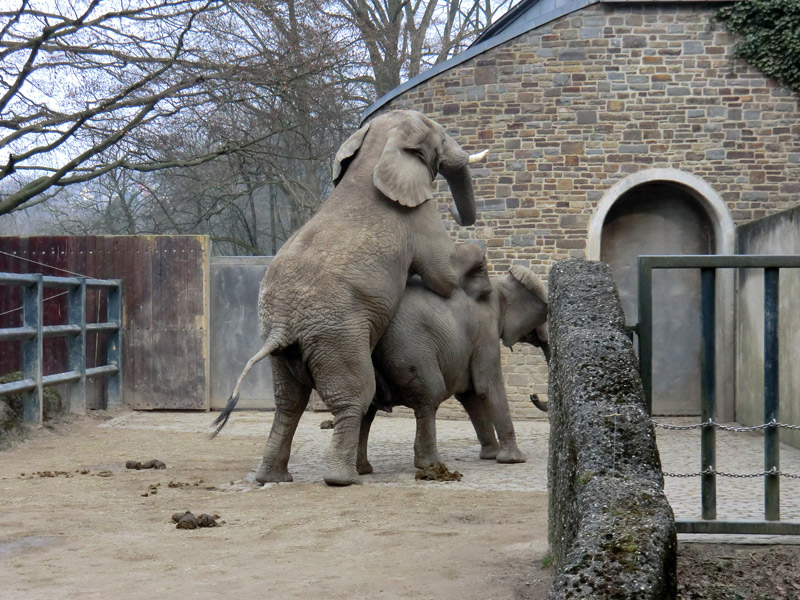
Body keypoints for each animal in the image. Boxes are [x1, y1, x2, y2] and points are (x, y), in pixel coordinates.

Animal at [212, 110, 488, 488]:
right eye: (440, 136)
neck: (374, 150)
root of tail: (281, 327)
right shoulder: (417, 217)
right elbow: (442, 275)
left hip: (285, 349)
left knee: (288, 404)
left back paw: (274, 478)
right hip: (336, 336)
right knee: (354, 395)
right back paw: (344, 479)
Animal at [358, 244, 552, 474]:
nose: (533, 394)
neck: (498, 287)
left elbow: (470, 394)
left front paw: (491, 455)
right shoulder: (485, 332)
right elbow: (487, 387)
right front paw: (514, 460)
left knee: (365, 407)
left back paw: (363, 469)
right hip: (409, 349)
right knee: (429, 396)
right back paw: (430, 465)